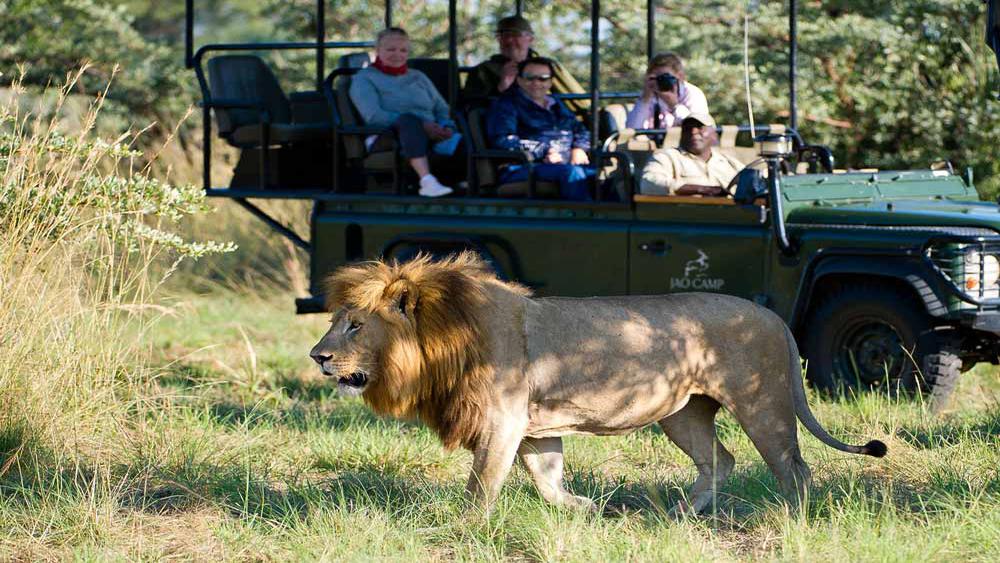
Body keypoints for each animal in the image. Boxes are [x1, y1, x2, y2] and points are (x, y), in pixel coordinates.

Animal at [308, 253, 888, 512]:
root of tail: (774, 318)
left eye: (355, 325)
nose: (318, 356)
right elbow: (546, 479)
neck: (440, 345)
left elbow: (482, 485)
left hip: (761, 403)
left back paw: (794, 517)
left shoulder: (502, 421)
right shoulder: (532, 427)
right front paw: (585, 512)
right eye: (336, 320)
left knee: (794, 466)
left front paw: (468, 527)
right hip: (684, 412)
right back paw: (681, 515)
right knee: (720, 460)